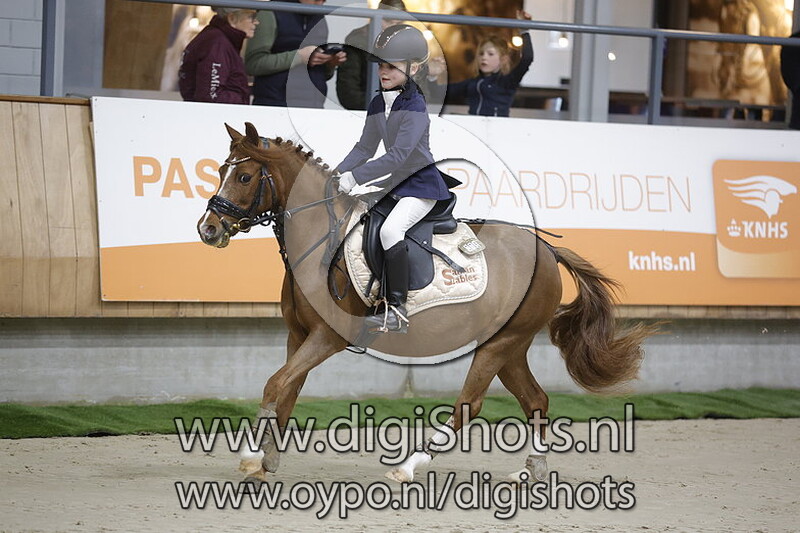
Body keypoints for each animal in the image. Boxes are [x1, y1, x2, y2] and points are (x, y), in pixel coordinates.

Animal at [196, 122, 655, 484]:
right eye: (220, 171)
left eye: (245, 177)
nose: (207, 228)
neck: (319, 241)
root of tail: (546, 250)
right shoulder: (298, 334)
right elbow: (287, 389)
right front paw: (268, 460)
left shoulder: (328, 337)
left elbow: (275, 384)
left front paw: (250, 457)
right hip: (511, 346)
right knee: (536, 400)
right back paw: (531, 470)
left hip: (501, 344)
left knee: (469, 405)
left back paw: (409, 466)